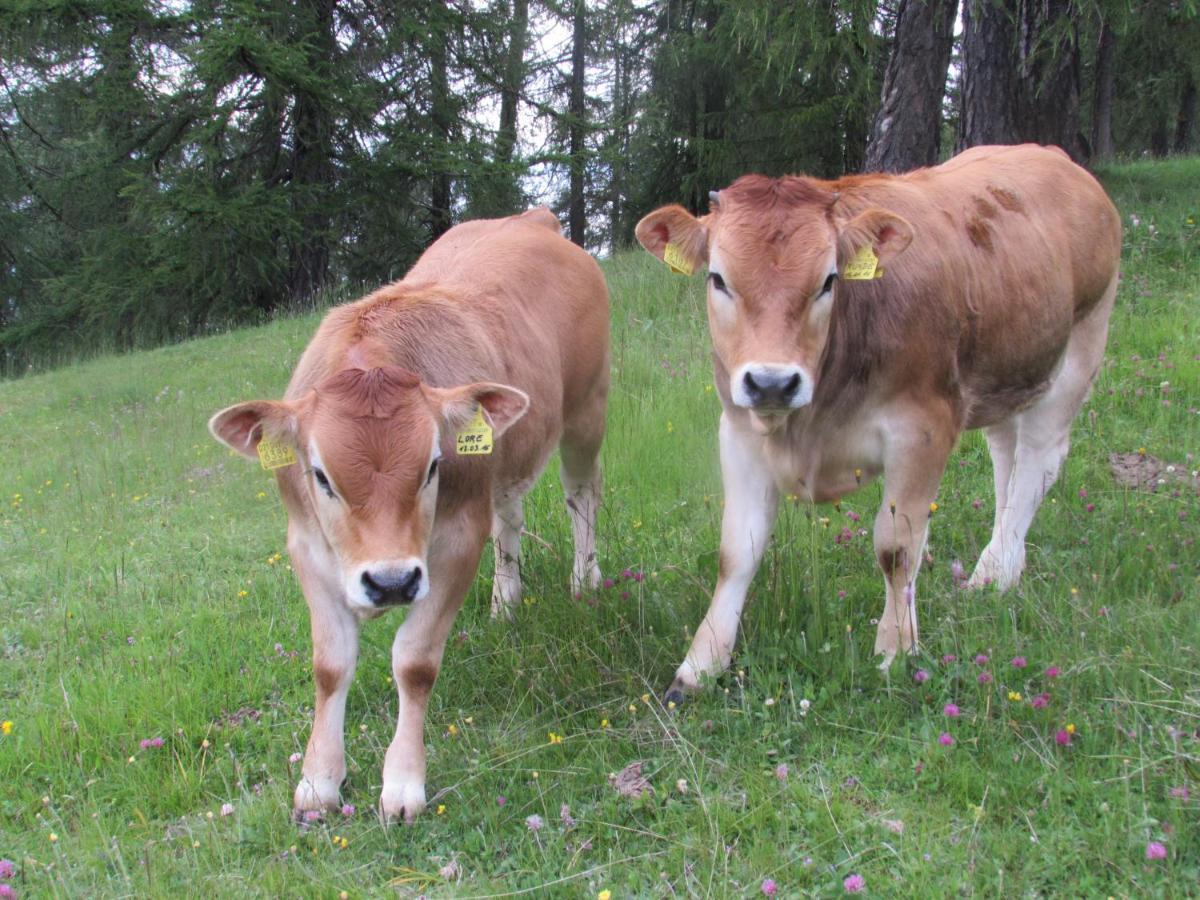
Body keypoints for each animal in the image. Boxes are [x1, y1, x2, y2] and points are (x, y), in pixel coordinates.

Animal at [208, 210, 609, 825]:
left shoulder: (455, 541)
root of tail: (529, 218)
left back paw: (585, 578)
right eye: (320, 475)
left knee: (581, 494)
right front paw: (319, 779)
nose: (391, 581)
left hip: (587, 410)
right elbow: (330, 665)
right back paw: (505, 599)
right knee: (509, 515)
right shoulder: (308, 547)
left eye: (432, 466)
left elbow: (415, 662)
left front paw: (402, 782)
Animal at [638, 144, 1123, 700]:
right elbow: (737, 551)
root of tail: (1053, 155)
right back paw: (1001, 563)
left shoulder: (923, 428)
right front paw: (700, 665)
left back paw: (995, 573)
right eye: (718, 279)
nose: (772, 382)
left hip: (1080, 345)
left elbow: (897, 549)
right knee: (1008, 455)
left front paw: (895, 651)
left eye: (828, 280)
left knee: (1039, 458)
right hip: (1003, 372)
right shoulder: (738, 431)